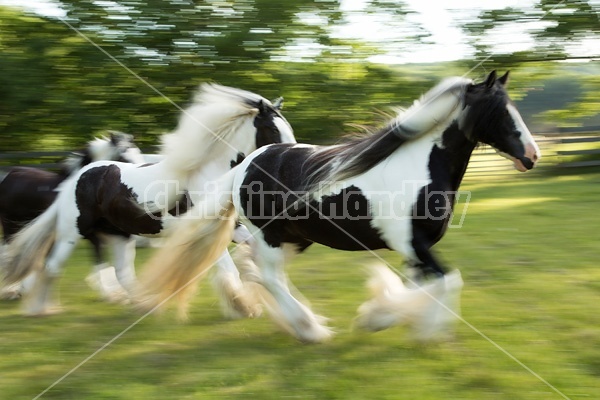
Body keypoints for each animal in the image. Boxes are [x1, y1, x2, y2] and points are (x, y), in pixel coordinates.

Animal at [0, 83, 296, 316]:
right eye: (272, 129)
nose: (288, 155)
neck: (208, 175)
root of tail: (78, 177)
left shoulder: (233, 228)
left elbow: (250, 251)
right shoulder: (204, 232)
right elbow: (228, 270)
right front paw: (242, 306)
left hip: (118, 235)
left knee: (122, 272)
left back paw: (144, 304)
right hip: (72, 233)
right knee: (52, 265)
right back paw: (41, 308)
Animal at [138, 72, 540, 344]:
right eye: (500, 112)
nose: (532, 155)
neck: (421, 167)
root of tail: (247, 162)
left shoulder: (415, 250)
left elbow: (418, 287)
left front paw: (380, 316)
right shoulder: (414, 244)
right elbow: (450, 280)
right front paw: (425, 329)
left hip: (294, 240)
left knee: (258, 272)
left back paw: (290, 320)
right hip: (270, 237)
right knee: (268, 276)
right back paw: (310, 329)